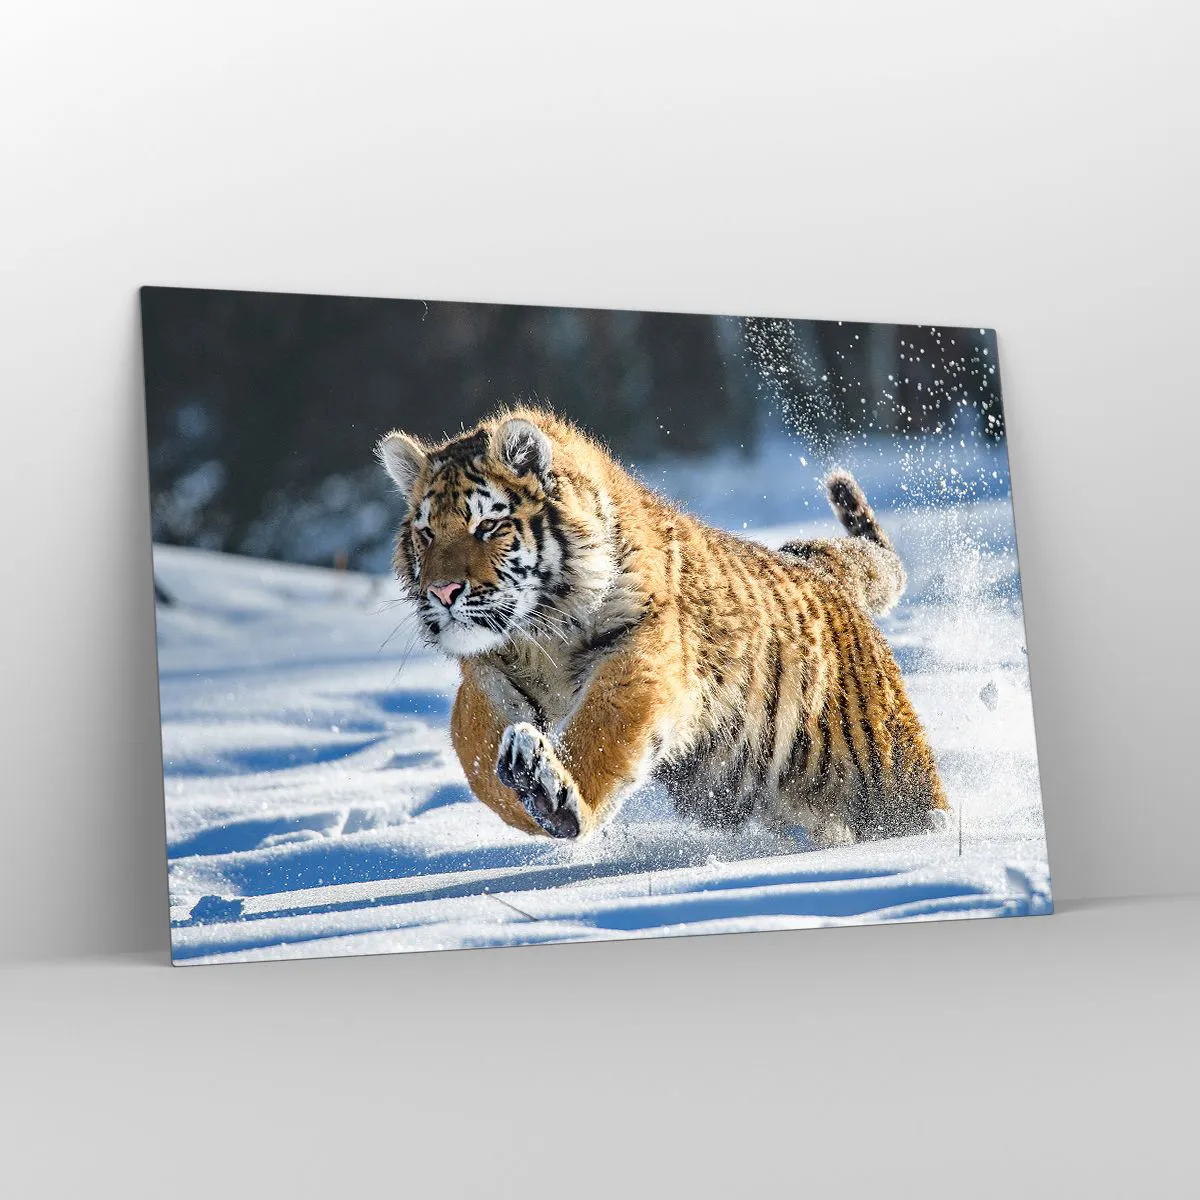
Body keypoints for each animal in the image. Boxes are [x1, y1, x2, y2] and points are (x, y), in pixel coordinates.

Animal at [377, 407, 950, 847]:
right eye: (426, 534)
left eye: (488, 525)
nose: (442, 592)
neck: (540, 633)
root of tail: (822, 570)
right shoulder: (488, 676)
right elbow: (476, 755)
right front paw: (525, 796)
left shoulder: (638, 652)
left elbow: (600, 733)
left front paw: (555, 797)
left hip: (886, 769)